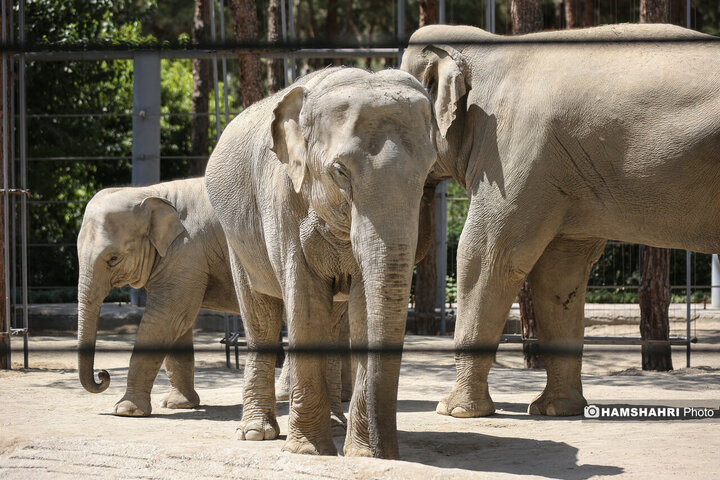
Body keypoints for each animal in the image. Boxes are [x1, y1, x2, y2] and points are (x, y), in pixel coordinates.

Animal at [205, 66, 436, 458]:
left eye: (428, 172)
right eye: (340, 172)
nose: (387, 451)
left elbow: (361, 310)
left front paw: (361, 454)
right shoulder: (282, 196)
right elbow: (305, 300)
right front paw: (308, 451)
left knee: (334, 321)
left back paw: (333, 424)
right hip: (236, 236)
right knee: (260, 316)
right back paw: (255, 433)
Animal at [402, 24, 720, 418]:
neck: (489, 46)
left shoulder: (515, 152)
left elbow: (485, 258)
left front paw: (453, 411)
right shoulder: (559, 173)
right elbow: (558, 272)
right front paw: (555, 409)